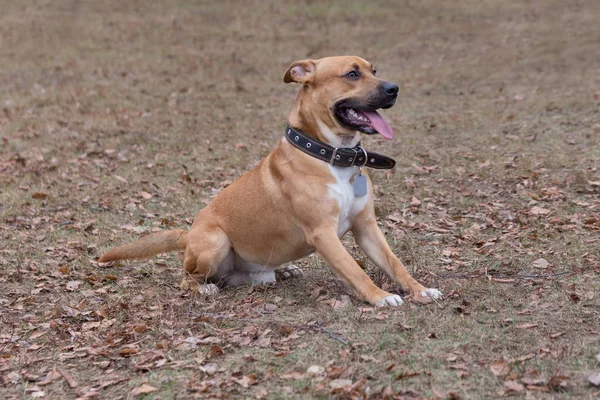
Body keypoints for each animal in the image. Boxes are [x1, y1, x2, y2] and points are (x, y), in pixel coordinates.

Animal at [99, 55, 440, 306]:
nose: (394, 88)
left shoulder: (367, 227)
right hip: (215, 241)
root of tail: (189, 233)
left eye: (374, 70)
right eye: (352, 74)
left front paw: (420, 290)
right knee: (186, 279)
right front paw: (380, 296)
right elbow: (356, 271)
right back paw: (204, 288)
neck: (333, 158)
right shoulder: (323, 233)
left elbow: (395, 263)